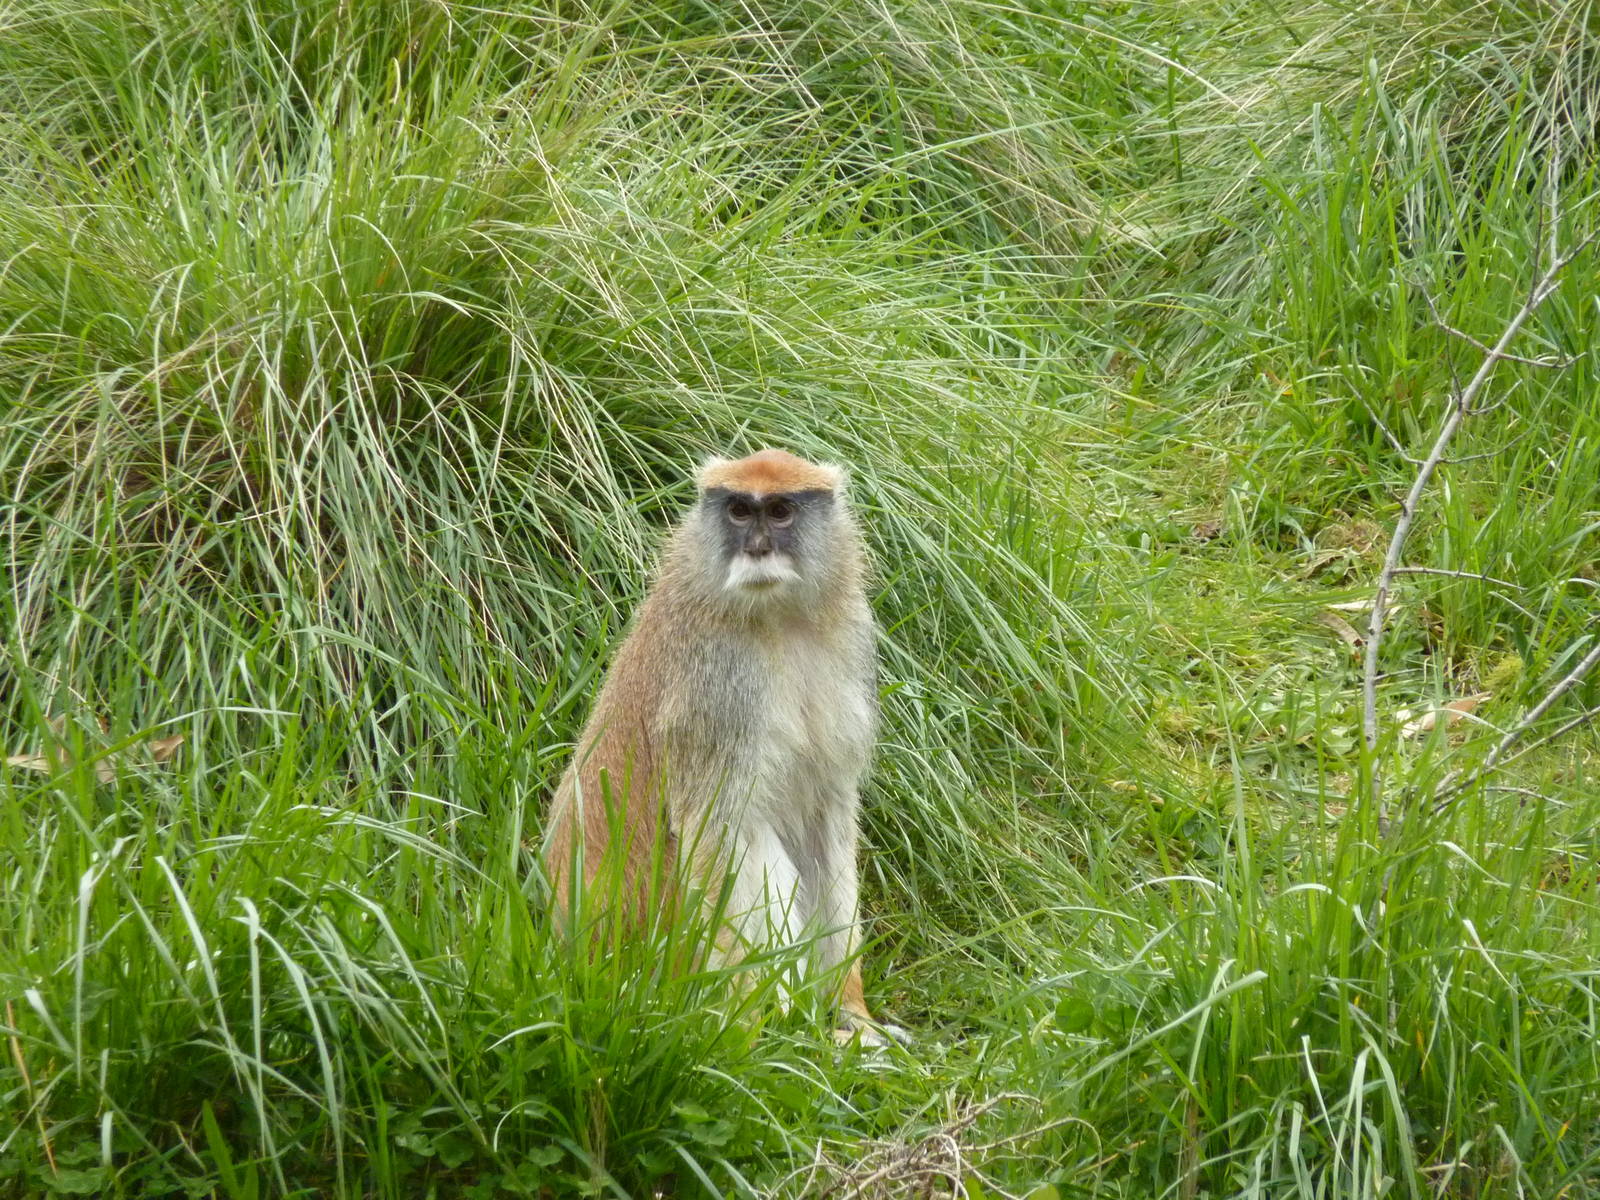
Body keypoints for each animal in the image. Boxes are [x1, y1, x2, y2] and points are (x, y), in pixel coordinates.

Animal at [543, 448, 902, 1045]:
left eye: (778, 511)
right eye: (738, 510)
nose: (755, 548)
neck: (776, 619)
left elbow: (828, 816)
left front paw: (853, 1012)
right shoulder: (716, 686)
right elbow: (712, 831)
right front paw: (740, 1030)